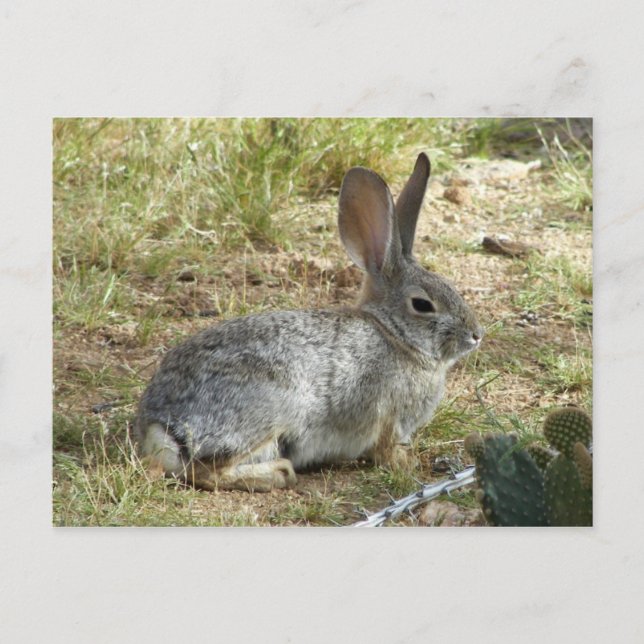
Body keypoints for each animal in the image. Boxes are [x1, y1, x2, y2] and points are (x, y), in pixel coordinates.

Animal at [134, 153, 483, 491]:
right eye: (422, 305)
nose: (476, 334)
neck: (395, 335)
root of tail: (161, 425)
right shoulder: (388, 418)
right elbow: (386, 451)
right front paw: (405, 464)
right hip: (268, 413)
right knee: (204, 471)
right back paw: (278, 473)